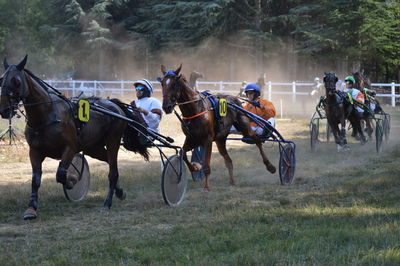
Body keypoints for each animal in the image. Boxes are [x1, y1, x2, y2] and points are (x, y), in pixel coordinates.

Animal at [0, 55, 148, 219]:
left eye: (16, 81)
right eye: (1, 79)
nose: (4, 109)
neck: (47, 116)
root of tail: (114, 104)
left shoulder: (70, 148)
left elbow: (60, 174)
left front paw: (72, 180)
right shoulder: (34, 151)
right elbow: (36, 179)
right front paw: (31, 208)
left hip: (113, 142)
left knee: (113, 171)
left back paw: (107, 203)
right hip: (93, 148)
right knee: (110, 163)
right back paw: (119, 191)